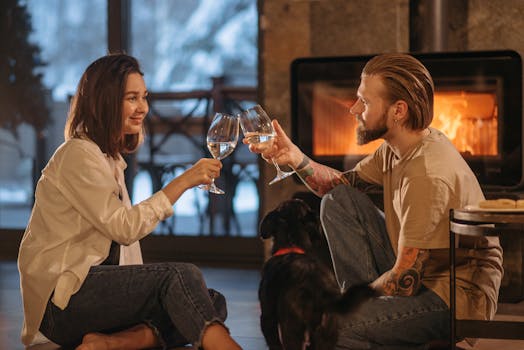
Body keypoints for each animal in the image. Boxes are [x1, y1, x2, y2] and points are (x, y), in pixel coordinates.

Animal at [256, 200, 372, 350]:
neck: (292, 245)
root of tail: (320, 289)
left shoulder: (267, 317)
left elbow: (274, 342)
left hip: (291, 328)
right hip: (327, 333)